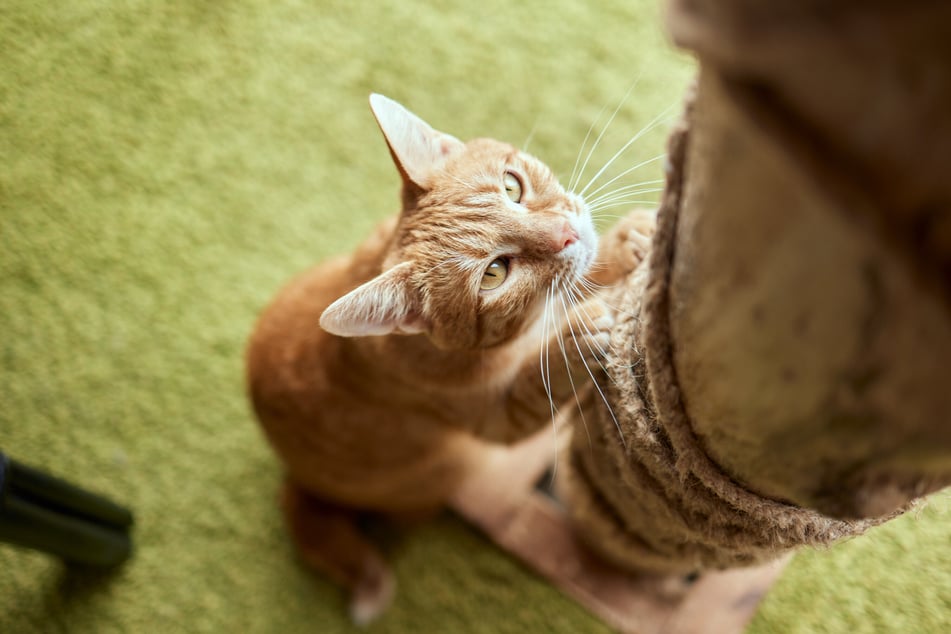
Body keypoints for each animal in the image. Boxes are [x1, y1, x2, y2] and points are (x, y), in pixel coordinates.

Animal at [244, 94, 608, 624]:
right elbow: (547, 371)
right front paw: (582, 328)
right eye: (495, 273)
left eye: (512, 186)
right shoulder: (499, 416)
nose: (567, 234)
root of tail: (299, 480)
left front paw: (632, 241)